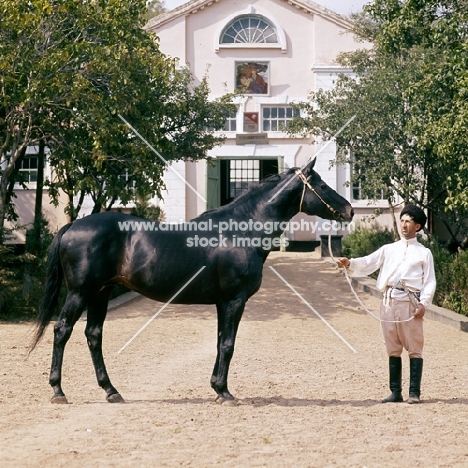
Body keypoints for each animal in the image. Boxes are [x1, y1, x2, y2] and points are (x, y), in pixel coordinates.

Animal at [31, 159, 352, 404]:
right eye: (322, 185)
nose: (349, 210)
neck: (240, 230)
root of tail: (73, 225)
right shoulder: (234, 300)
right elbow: (228, 345)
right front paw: (225, 393)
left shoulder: (223, 302)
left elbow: (221, 342)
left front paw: (217, 388)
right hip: (80, 293)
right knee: (62, 330)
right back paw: (58, 391)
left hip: (101, 292)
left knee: (93, 335)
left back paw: (111, 391)